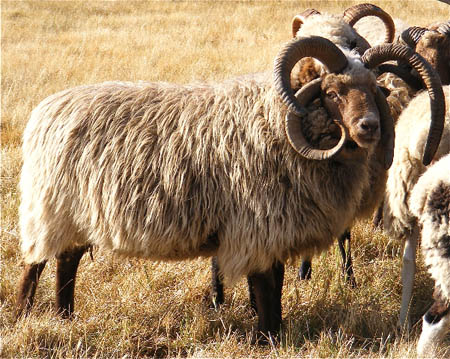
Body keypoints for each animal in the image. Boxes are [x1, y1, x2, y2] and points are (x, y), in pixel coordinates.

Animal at [16, 36, 442, 344]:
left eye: (375, 91)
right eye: (332, 93)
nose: (370, 127)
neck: (278, 124)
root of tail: (47, 109)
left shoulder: (272, 231)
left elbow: (274, 285)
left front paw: (271, 334)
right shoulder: (258, 229)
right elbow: (266, 289)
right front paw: (267, 339)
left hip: (76, 214)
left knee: (66, 261)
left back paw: (66, 316)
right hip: (50, 207)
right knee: (36, 264)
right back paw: (25, 314)